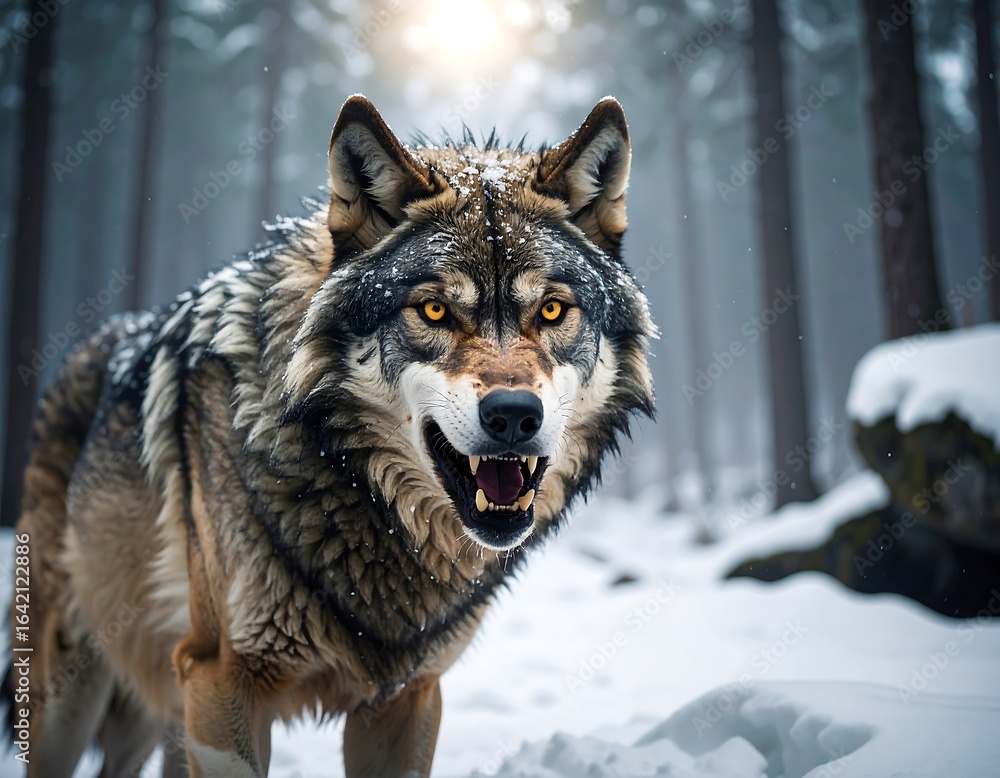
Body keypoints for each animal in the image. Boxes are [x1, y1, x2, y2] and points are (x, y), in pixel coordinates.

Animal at [3, 94, 654, 777]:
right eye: (434, 310)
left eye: (552, 310)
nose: (513, 415)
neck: (344, 477)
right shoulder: (221, 680)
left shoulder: (407, 698)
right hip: (74, 692)